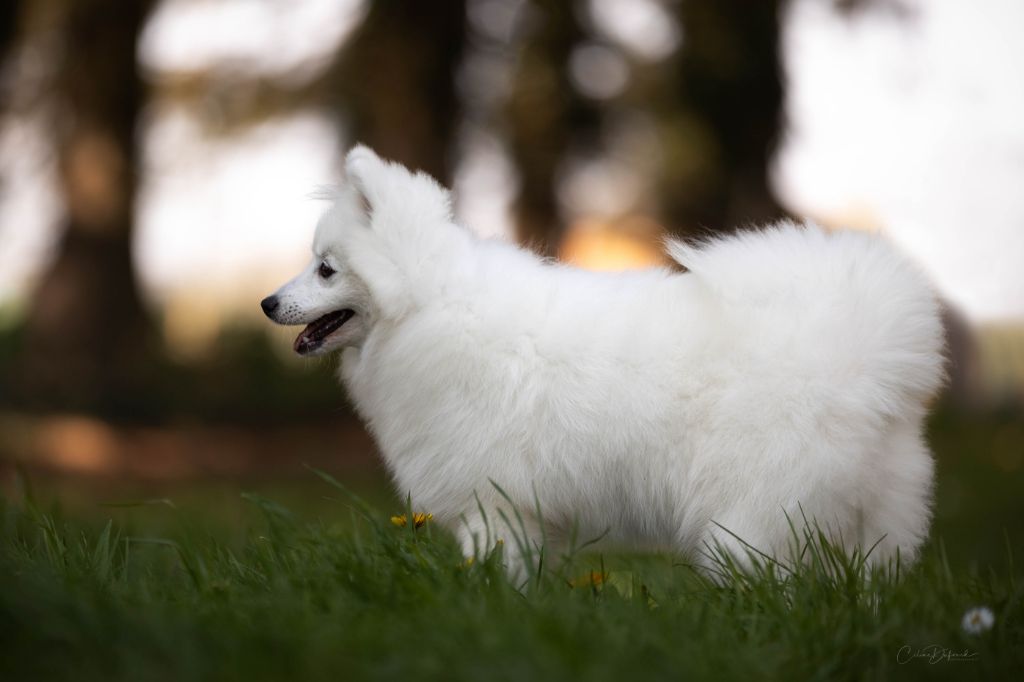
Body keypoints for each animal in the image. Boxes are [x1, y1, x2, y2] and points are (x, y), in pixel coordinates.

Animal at [262, 144, 942, 573]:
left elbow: (491, 572)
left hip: (752, 514)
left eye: (326, 270)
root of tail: (868, 346)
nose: (267, 303)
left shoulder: (494, 503)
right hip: (873, 516)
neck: (432, 309)